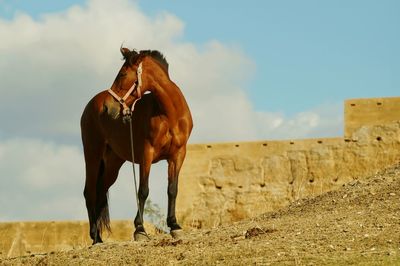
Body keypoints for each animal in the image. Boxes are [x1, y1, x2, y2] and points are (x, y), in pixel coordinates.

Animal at [80, 47, 192, 243]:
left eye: (122, 74)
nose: (108, 108)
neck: (170, 115)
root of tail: (90, 105)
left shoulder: (177, 155)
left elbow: (172, 189)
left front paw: (174, 226)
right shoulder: (146, 155)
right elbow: (143, 190)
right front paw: (139, 229)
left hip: (112, 164)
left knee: (100, 192)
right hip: (92, 156)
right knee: (89, 192)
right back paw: (96, 238)